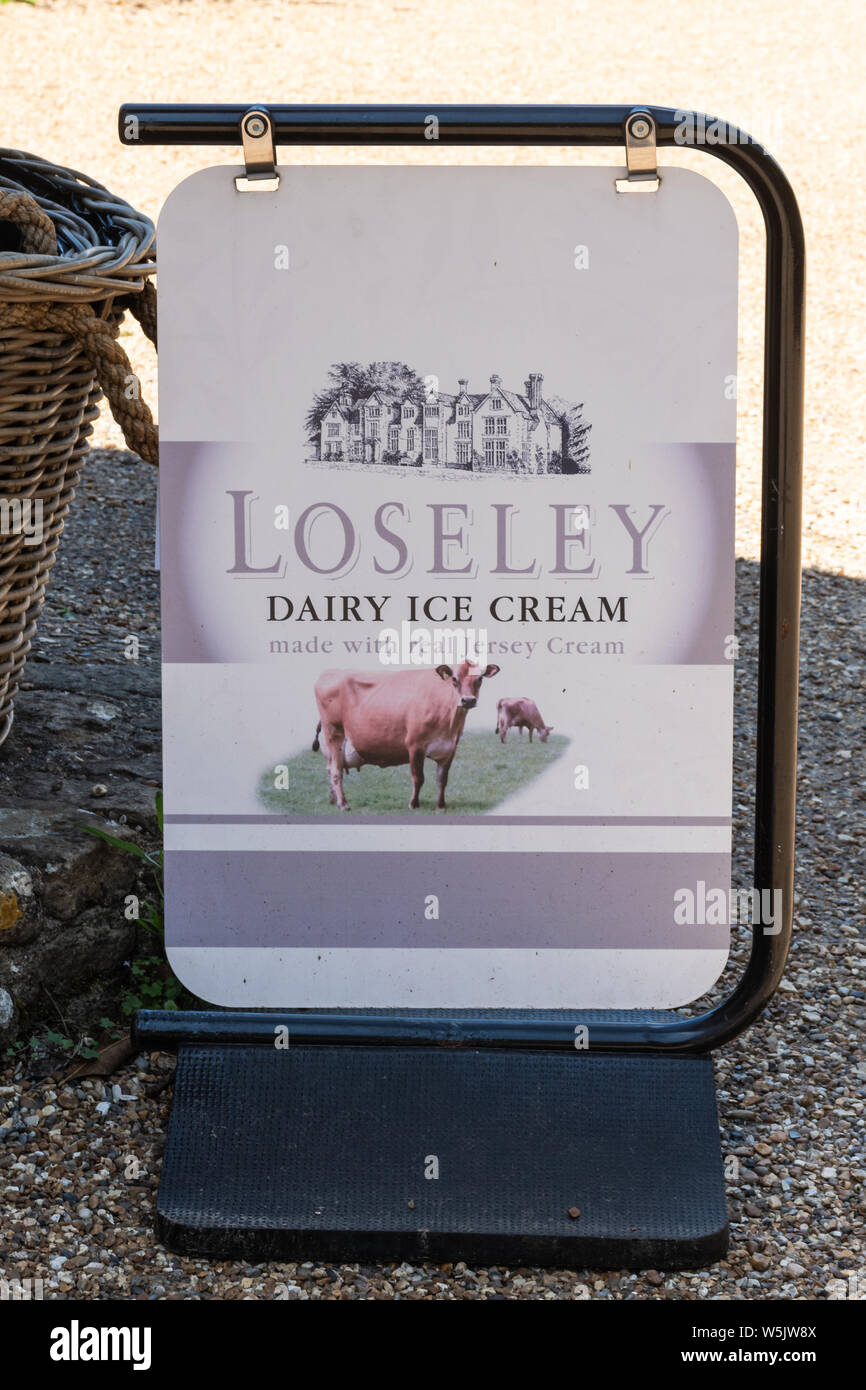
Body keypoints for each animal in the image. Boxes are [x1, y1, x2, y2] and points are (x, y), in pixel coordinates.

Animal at [311, 656, 500, 811]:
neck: (449, 723)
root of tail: (331, 672)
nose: (468, 700)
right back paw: (343, 804)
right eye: (454, 679)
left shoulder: (450, 748)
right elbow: (418, 778)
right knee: (336, 770)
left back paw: (334, 800)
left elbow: (442, 779)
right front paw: (413, 804)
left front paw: (441, 806)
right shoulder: (415, 745)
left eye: (480, 678)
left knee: (330, 767)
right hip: (334, 732)